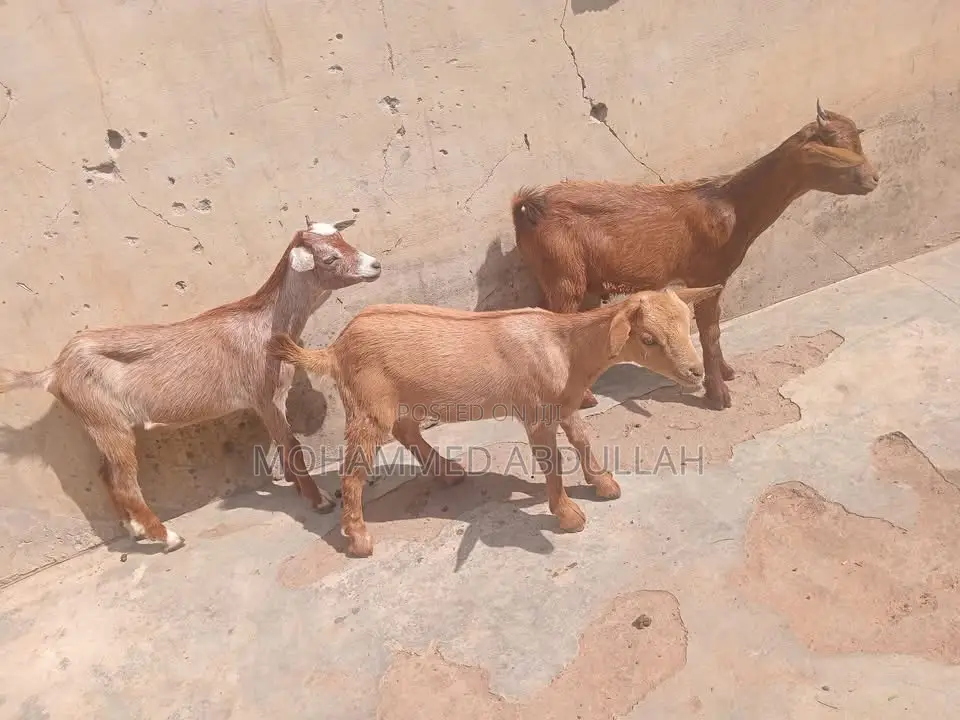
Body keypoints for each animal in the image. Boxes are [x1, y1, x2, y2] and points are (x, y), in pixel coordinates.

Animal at [0, 220, 382, 552]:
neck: (265, 323)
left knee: (107, 475)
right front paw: (318, 500)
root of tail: (55, 371)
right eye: (329, 258)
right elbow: (293, 447)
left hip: (104, 426)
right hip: (107, 423)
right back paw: (166, 537)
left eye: (344, 240)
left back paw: (135, 529)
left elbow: (285, 447)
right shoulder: (265, 396)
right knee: (125, 483)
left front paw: (297, 487)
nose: (375, 265)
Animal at [268, 284, 723, 558]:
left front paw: (604, 484)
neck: (565, 347)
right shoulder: (536, 412)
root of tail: (335, 348)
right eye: (648, 339)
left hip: (401, 399)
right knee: (354, 470)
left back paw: (448, 472)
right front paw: (568, 515)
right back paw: (359, 537)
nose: (696, 373)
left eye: (687, 322)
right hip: (368, 405)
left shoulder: (565, 403)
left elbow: (582, 439)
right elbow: (552, 463)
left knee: (407, 429)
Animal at [511, 101, 879, 410]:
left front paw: (726, 372)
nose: (874, 179)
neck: (732, 206)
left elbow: (713, 331)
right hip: (565, 277)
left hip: (568, 278)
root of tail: (528, 209)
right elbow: (709, 333)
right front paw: (719, 394)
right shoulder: (706, 275)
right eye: (840, 152)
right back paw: (584, 398)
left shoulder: (713, 280)